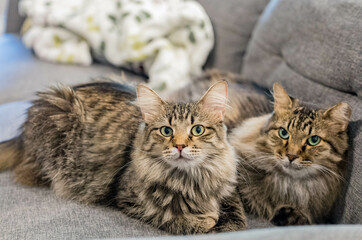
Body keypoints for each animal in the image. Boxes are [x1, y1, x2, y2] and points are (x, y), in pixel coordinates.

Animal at [0, 80, 246, 234]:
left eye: (197, 130)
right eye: (166, 131)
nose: (180, 146)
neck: (190, 179)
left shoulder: (229, 189)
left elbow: (237, 217)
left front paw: (222, 220)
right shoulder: (127, 199)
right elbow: (171, 218)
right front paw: (207, 221)